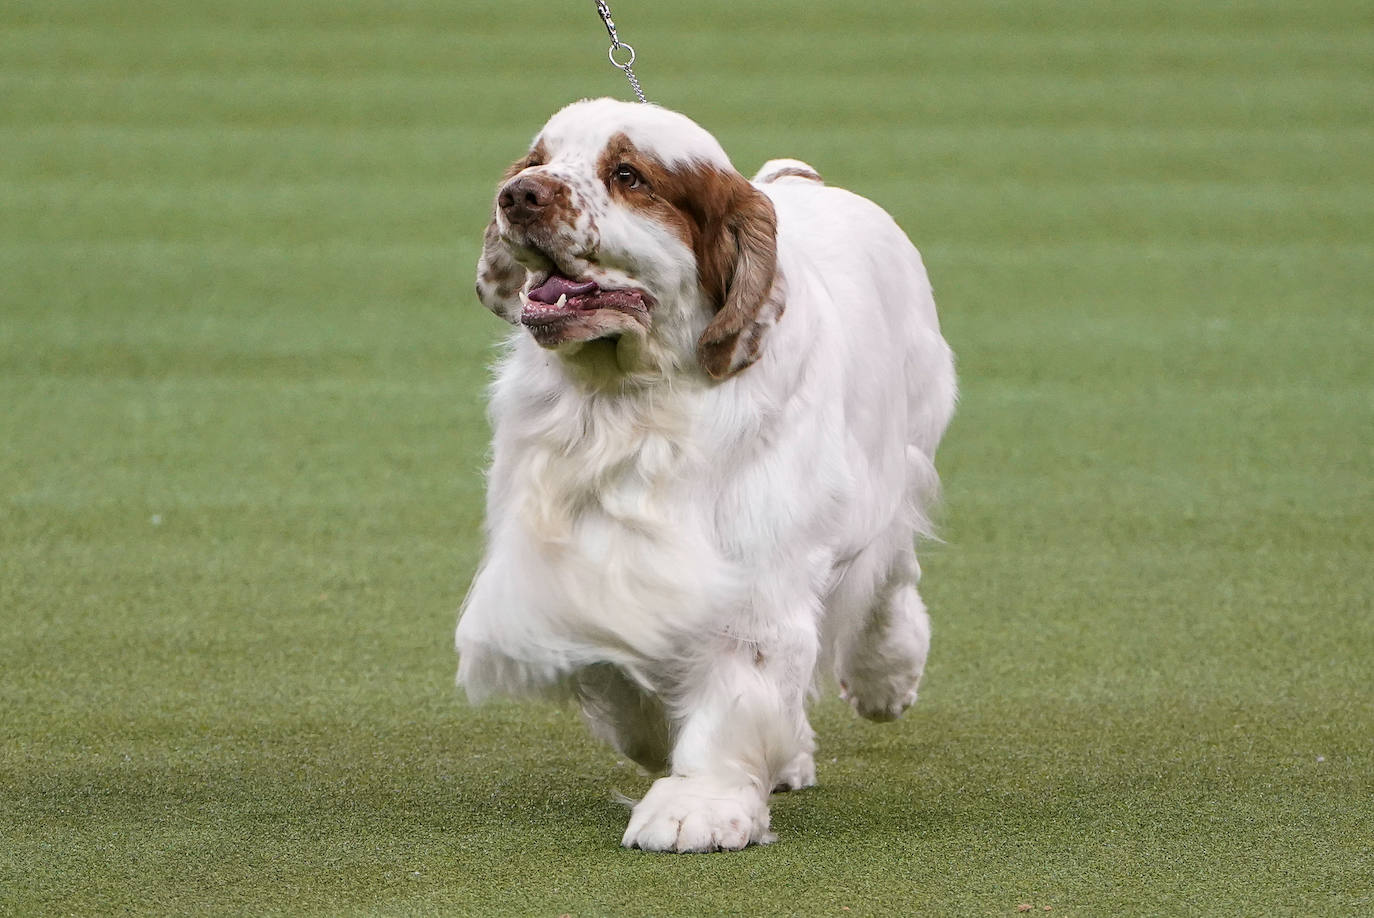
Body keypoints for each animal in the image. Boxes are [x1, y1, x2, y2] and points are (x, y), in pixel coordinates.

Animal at [456, 96, 950, 852]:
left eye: (628, 175)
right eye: (536, 159)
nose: (518, 195)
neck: (629, 402)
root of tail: (795, 179)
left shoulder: (755, 568)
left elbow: (738, 688)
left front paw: (699, 807)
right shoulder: (584, 568)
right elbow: (627, 683)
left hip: (901, 457)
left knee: (890, 580)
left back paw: (885, 680)